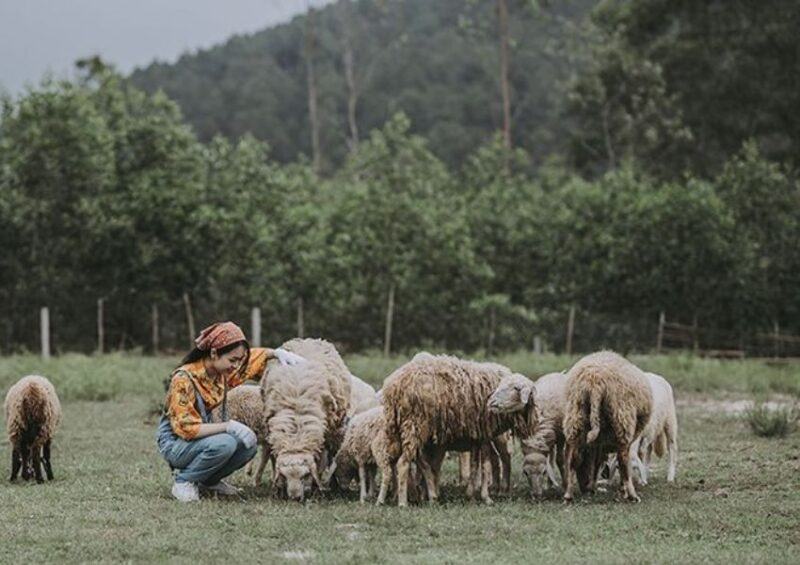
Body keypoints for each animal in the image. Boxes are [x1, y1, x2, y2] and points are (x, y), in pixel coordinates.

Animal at [260, 334, 352, 498]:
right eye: (285, 476)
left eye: (305, 475)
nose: (295, 498)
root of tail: (307, 339)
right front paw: (279, 489)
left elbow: (321, 463)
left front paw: (315, 488)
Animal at [382, 352, 536, 506]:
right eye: (515, 389)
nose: (491, 402)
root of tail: (393, 387)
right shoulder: (485, 433)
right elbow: (484, 466)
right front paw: (485, 497)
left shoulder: (477, 436)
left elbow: (475, 465)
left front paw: (471, 494)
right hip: (415, 425)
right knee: (403, 463)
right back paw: (404, 502)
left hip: (405, 430)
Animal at [564, 350, 648, 500]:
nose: (584, 487)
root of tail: (594, 382)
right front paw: (622, 489)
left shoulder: (599, 443)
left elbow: (597, 463)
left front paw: (592, 486)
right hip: (622, 420)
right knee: (623, 460)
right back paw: (632, 495)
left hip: (575, 417)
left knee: (573, 459)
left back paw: (568, 494)